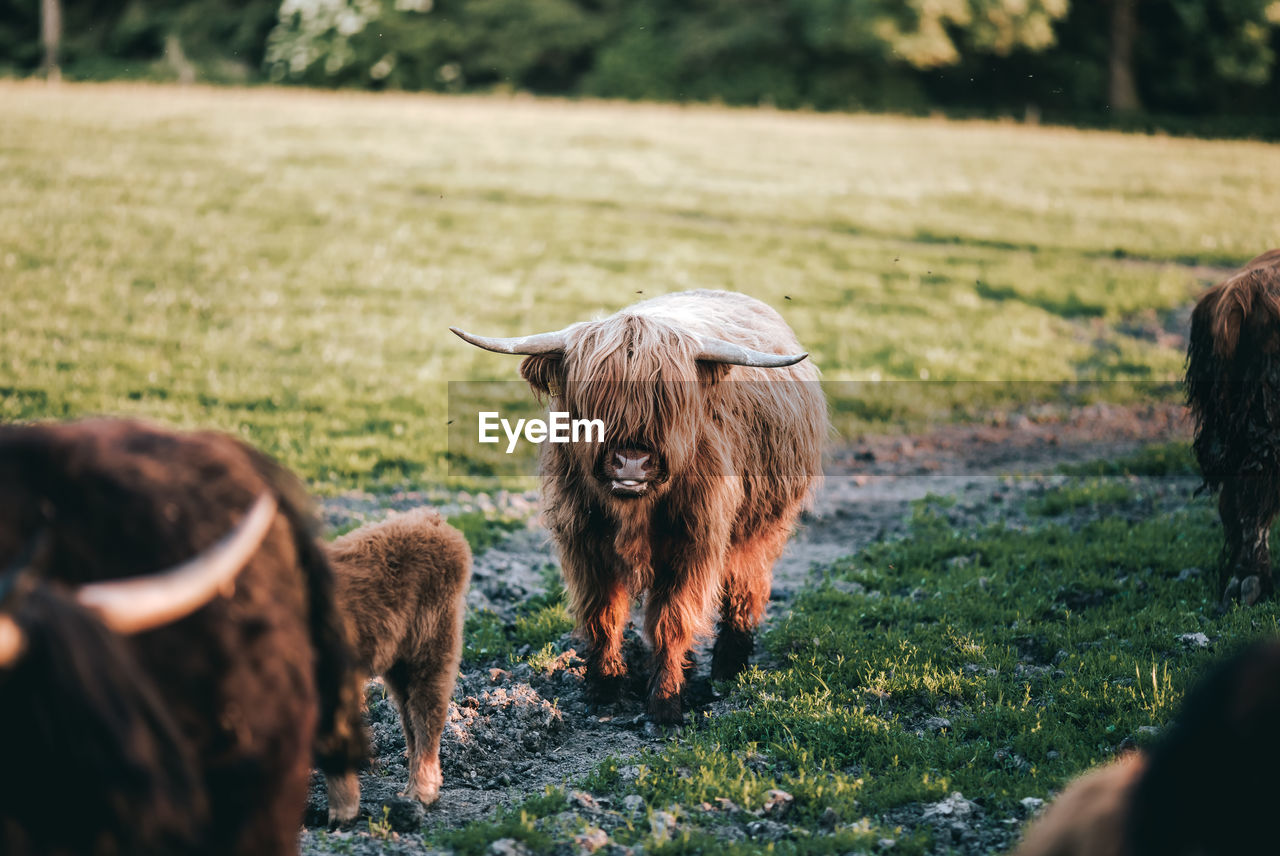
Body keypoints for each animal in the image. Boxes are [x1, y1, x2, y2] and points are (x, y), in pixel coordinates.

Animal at [322, 506, 473, 818]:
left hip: (431, 643)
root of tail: (434, 521)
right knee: (409, 716)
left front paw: (342, 812)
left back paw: (420, 793)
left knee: (426, 712)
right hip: (399, 661)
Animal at [450, 289, 829, 721]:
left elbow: (672, 621)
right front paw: (605, 688)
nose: (631, 461)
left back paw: (728, 669)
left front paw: (665, 703)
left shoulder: (693, 545)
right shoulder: (584, 542)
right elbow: (602, 615)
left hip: (760, 530)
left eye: (668, 401)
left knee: (744, 590)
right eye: (595, 401)